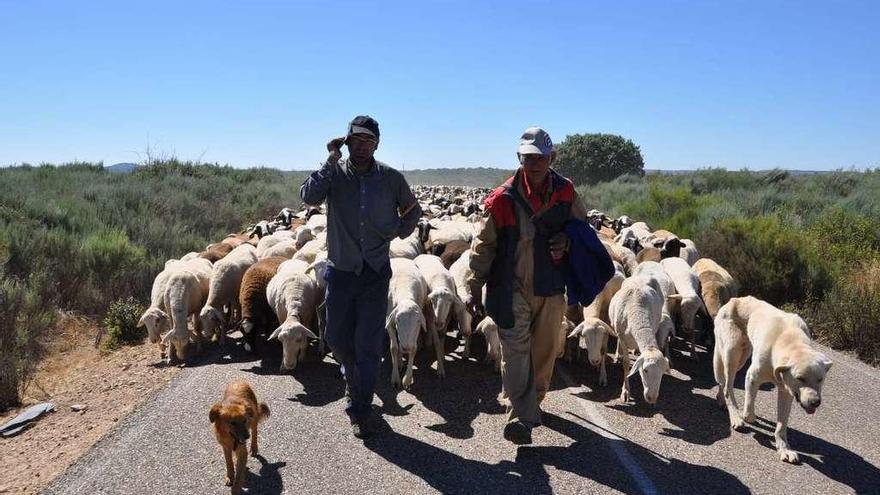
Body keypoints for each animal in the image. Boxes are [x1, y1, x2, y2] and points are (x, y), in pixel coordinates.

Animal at [388, 256, 430, 392]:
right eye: (398, 320)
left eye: (417, 321)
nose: (406, 347)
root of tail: (400, 257)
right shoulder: (389, 323)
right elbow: (394, 348)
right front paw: (395, 379)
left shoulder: (416, 330)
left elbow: (414, 349)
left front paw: (407, 380)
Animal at [716, 296, 832, 464]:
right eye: (800, 378)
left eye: (820, 379)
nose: (815, 402)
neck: (789, 340)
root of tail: (735, 299)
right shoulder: (752, 377)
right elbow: (750, 412)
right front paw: (745, 416)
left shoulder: (787, 392)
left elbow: (781, 426)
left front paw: (784, 448)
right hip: (733, 355)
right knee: (727, 387)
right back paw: (735, 417)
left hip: (742, 358)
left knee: (722, 382)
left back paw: (721, 401)